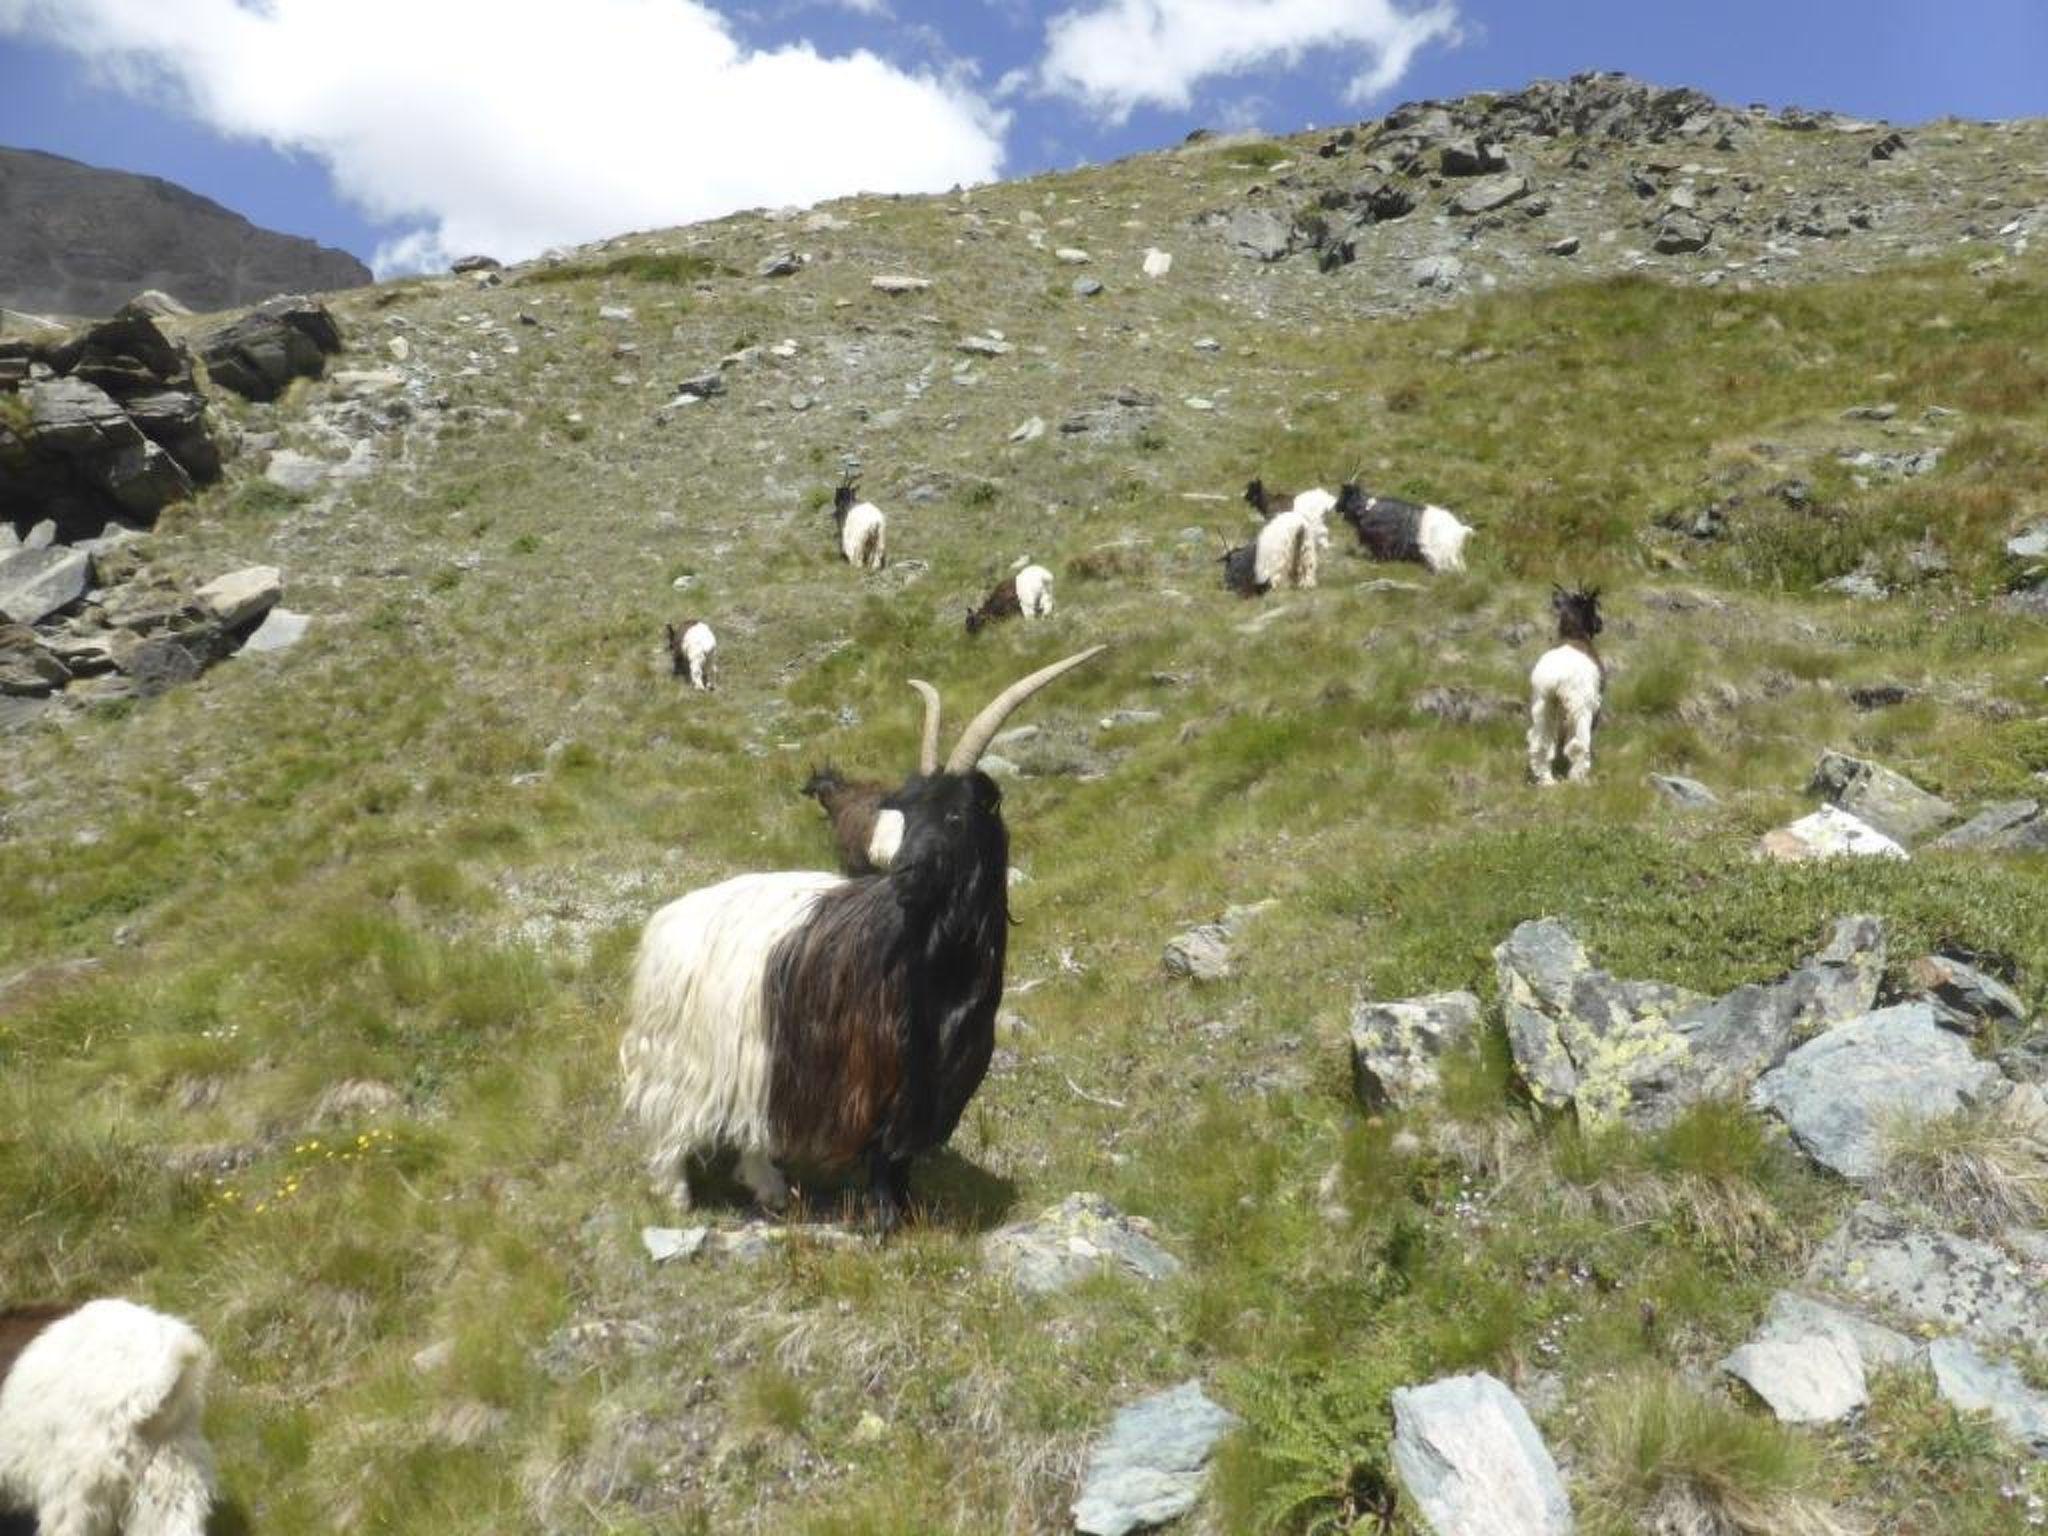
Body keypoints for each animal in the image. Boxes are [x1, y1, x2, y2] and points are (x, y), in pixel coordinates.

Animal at [1531, 585, 1605, 786]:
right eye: (1593, 607)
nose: (1600, 624)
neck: (1574, 635)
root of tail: (1556, 678)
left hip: (1544, 706)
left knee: (1541, 744)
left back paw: (1546, 780)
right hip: (1579, 707)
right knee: (1578, 743)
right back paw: (1577, 777)